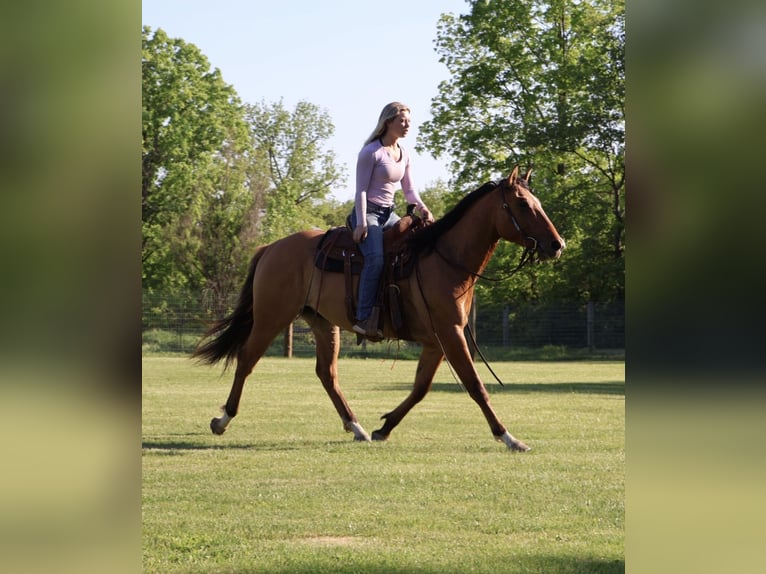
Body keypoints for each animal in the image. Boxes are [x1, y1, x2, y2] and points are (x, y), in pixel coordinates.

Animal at [193, 166, 565, 451]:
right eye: (522, 204)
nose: (556, 244)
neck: (444, 258)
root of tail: (271, 247)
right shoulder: (451, 334)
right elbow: (475, 386)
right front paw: (509, 437)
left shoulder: (436, 341)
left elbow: (420, 388)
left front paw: (383, 427)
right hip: (272, 317)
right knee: (246, 360)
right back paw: (222, 419)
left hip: (322, 323)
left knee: (327, 374)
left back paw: (355, 426)